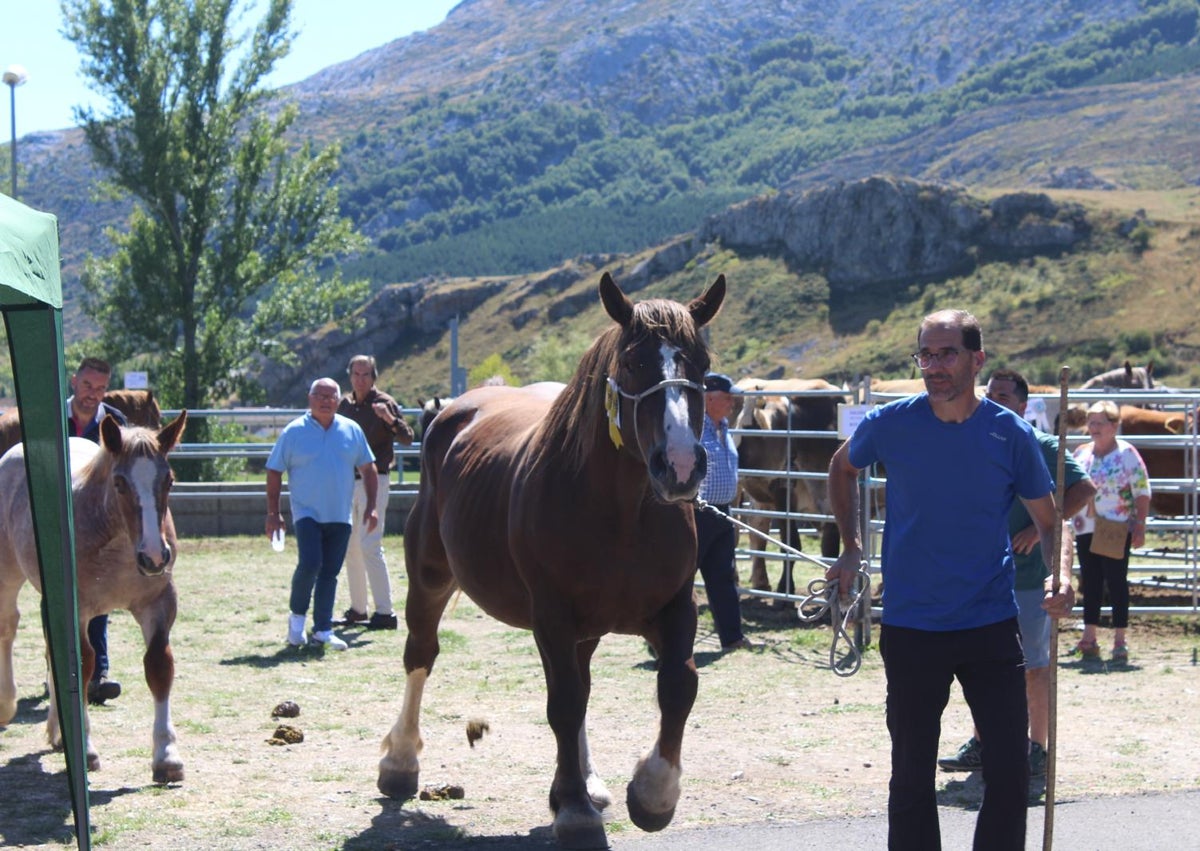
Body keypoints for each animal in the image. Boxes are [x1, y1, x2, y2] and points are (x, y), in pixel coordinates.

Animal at [0, 410, 186, 782]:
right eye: (119, 483)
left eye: (169, 481)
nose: (154, 557)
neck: (119, 545)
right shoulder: (77, 608)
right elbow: (82, 668)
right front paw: (86, 750)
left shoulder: (158, 603)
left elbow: (159, 667)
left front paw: (166, 756)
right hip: (9, 574)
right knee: (9, 626)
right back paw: (8, 704)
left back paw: (58, 732)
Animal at [379, 276, 724, 844]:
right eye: (632, 362)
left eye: (701, 361)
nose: (679, 465)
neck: (622, 515)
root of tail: (454, 410)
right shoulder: (553, 616)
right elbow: (563, 703)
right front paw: (574, 810)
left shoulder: (674, 608)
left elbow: (679, 686)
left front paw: (652, 794)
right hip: (429, 577)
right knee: (421, 654)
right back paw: (400, 762)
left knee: (583, 681)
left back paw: (587, 781)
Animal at [729, 374, 844, 595]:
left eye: (749, 429)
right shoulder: (783, 494)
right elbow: (791, 545)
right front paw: (784, 589)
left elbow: (830, 547)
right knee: (735, 530)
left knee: (758, 529)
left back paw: (760, 581)